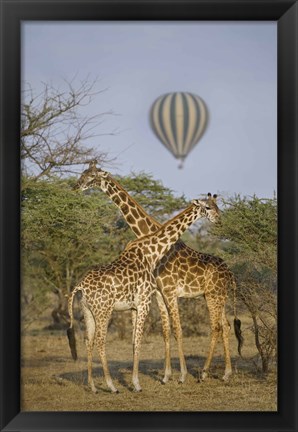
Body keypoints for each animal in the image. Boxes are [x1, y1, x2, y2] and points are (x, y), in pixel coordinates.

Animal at [66, 197, 218, 394]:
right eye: (207, 207)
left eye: (216, 206)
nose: (218, 218)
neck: (151, 253)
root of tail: (80, 286)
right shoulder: (145, 301)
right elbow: (138, 341)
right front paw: (136, 384)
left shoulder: (134, 306)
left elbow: (133, 341)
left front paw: (135, 381)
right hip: (103, 310)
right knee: (100, 341)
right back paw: (112, 386)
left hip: (87, 311)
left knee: (88, 341)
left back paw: (92, 386)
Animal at [74, 161, 242, 382]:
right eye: (84, 173)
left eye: (92, 176)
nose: (76, 187)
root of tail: (230, 273)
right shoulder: (160, 294)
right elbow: (165, 332)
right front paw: (166, 375)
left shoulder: (169, 292)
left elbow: (177, 331)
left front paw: (180, 375)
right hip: (215, 296)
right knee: (226, 326)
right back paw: (226, 373)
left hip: (214, 296)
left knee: (216, 327)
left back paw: (205, 373)